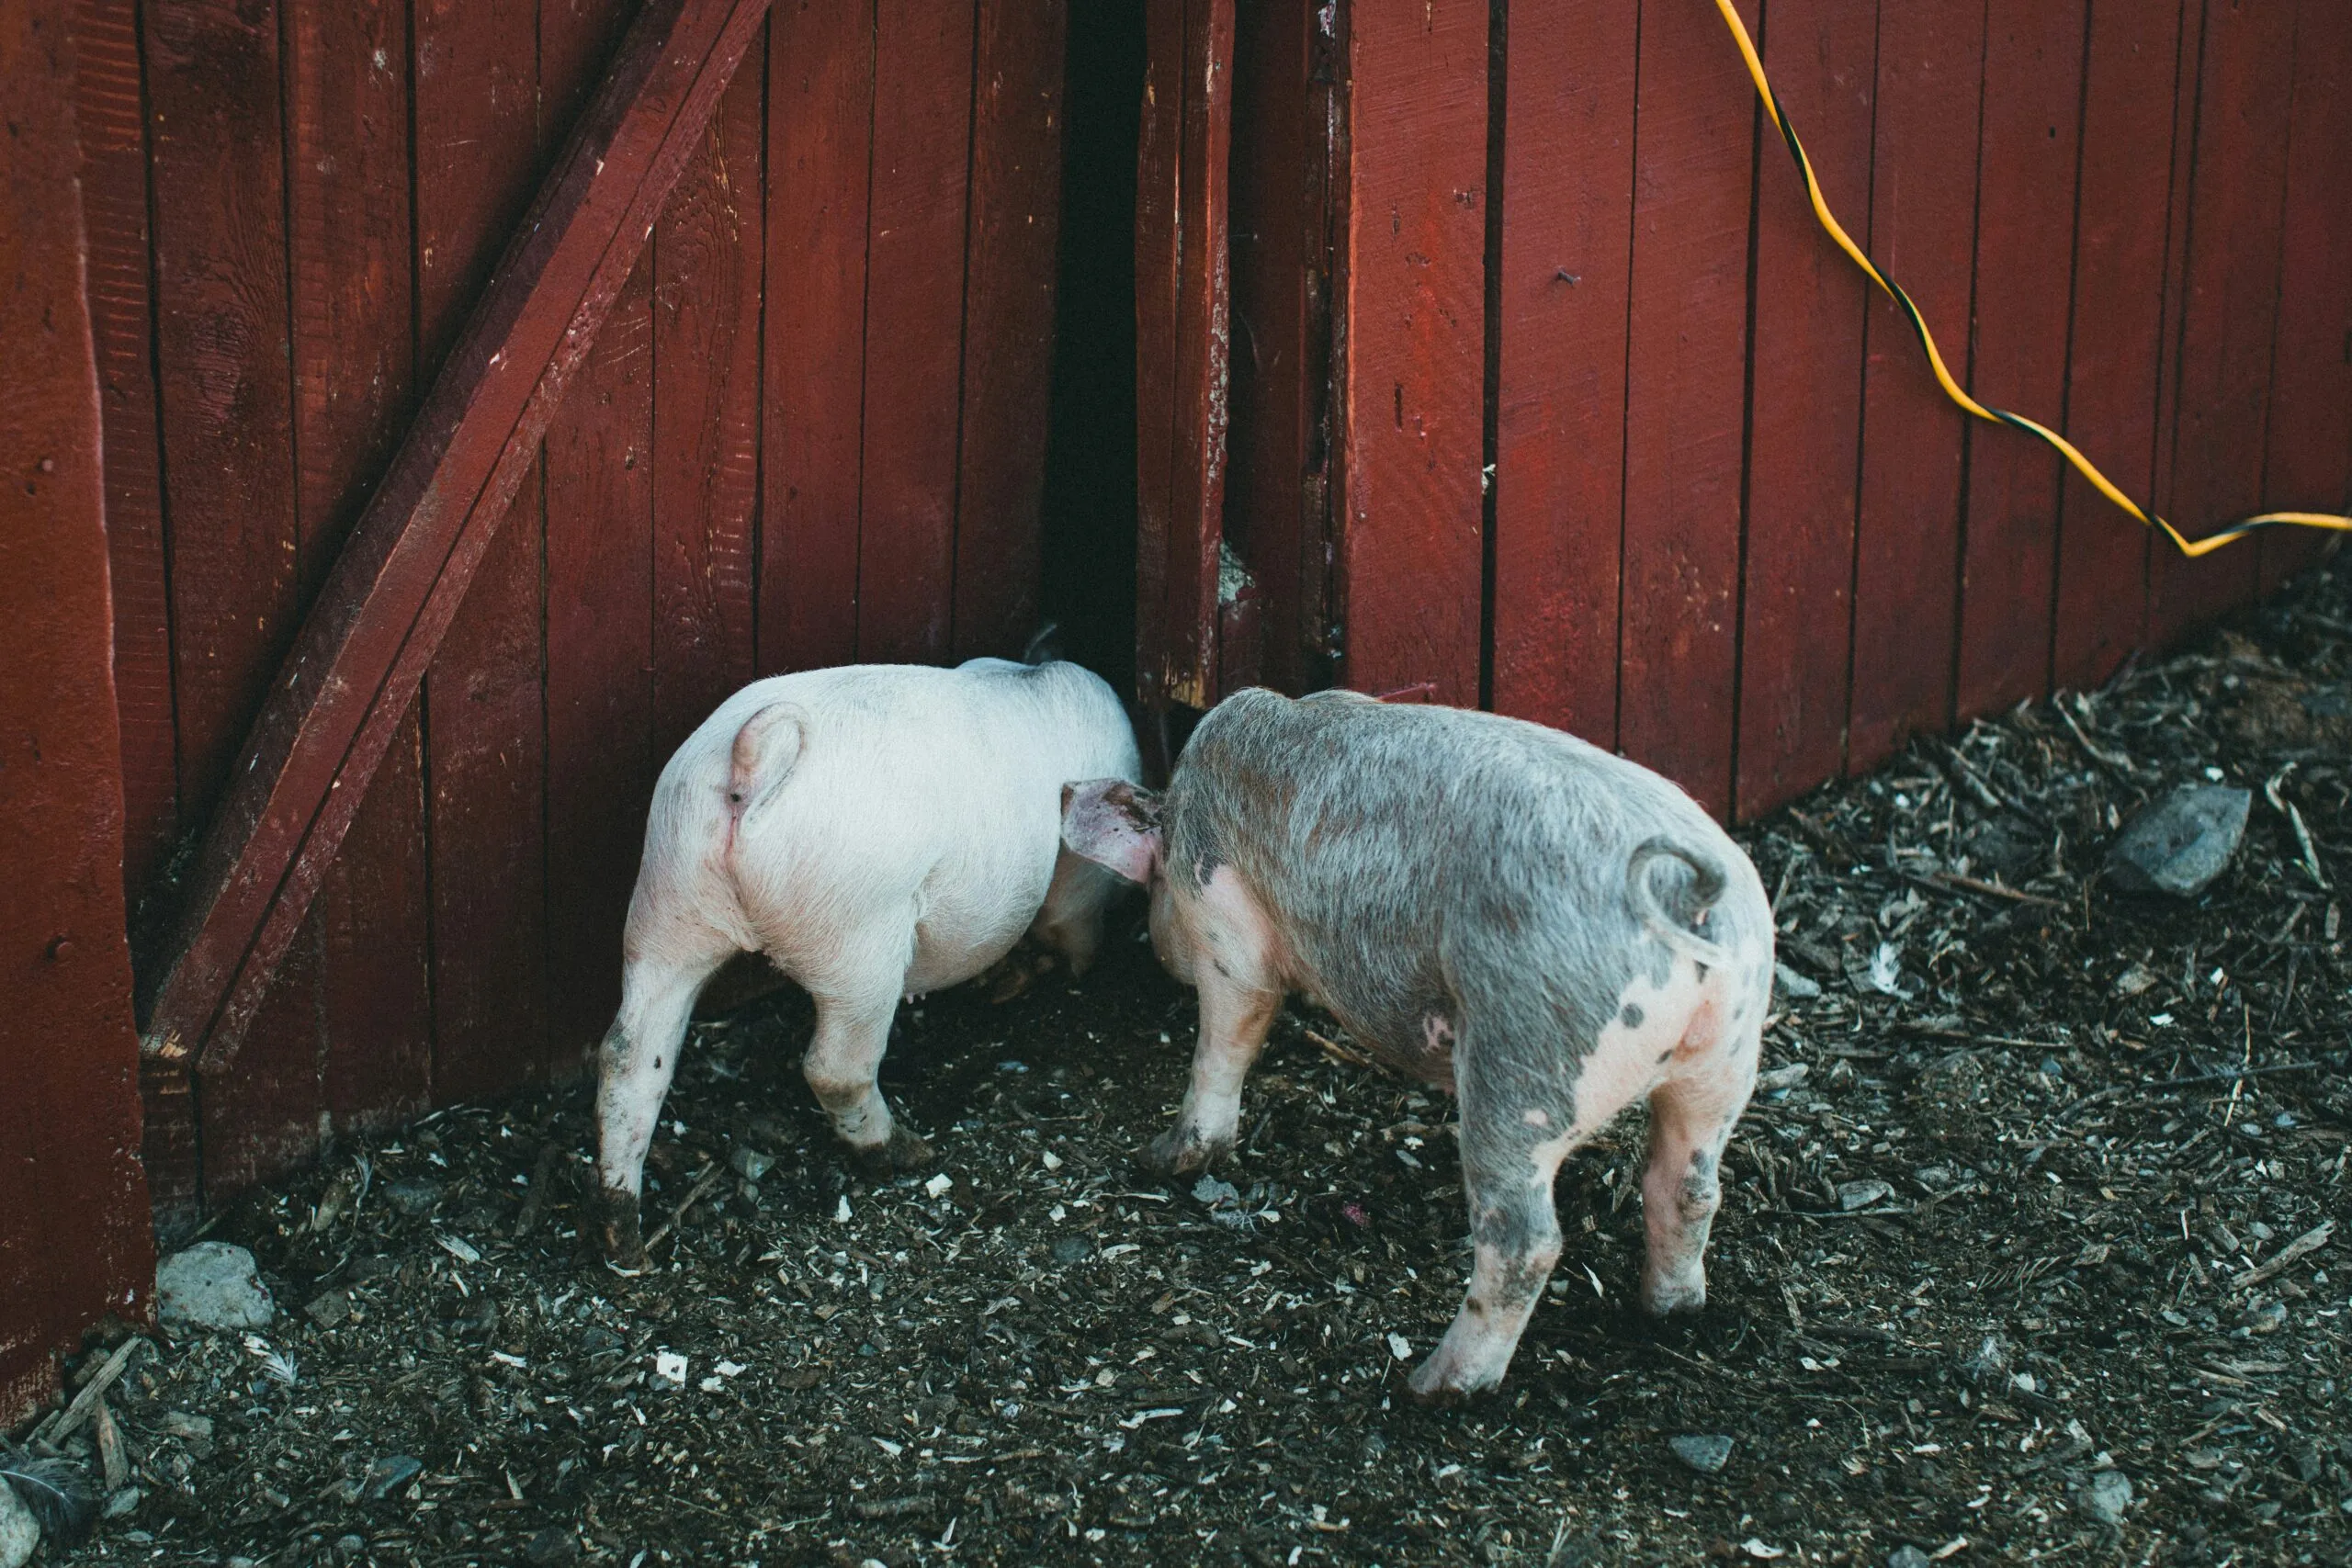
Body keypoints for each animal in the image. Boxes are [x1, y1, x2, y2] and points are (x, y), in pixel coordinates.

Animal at [596, 657, 1141, 1270]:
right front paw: (1061, 971)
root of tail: (751, 763)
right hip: (858, 935)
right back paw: (908, 1152)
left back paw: (626, 1244)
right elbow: (1071, 923)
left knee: (630, 1055)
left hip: (667, 892)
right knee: (835, 1067)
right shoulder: (1079, 880)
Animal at [1059, 688, 1773, 1402]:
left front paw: (1160, 1158)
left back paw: (1430, 1386)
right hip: (1729, 1053)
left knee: (1525, 1240)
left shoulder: (1225, 928)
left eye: (1154, 889)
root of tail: (1688, 896)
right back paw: (1669, 1311)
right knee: (1690, 1186)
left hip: (1528, 1059)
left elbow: (1227, 1040)